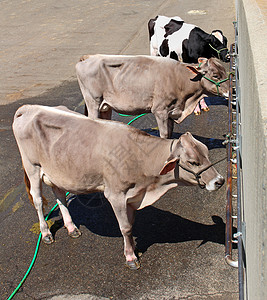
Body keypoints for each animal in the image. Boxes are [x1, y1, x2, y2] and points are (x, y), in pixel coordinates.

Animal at [13, 105, 226, 270]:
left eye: (206, 153)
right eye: (193, 162)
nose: (219, 180)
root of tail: (29, 108)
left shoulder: (132, 196)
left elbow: (131, 225)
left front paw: (134, 249)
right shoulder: (115, 195)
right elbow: (124, 227)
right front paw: (131, 258)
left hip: (57, 172)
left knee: (60, 196)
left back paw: (71, 227)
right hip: (32, 167)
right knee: (38, 201)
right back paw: (46, 233)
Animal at [76, 54, 230, 139]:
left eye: (225, 71)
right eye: (216, 75)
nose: (232, 91)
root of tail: (88, 57)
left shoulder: (171, 111)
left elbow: (170, 134)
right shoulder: (160, 111)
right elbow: (164, 135)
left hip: (105, 106)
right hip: (93, 102)